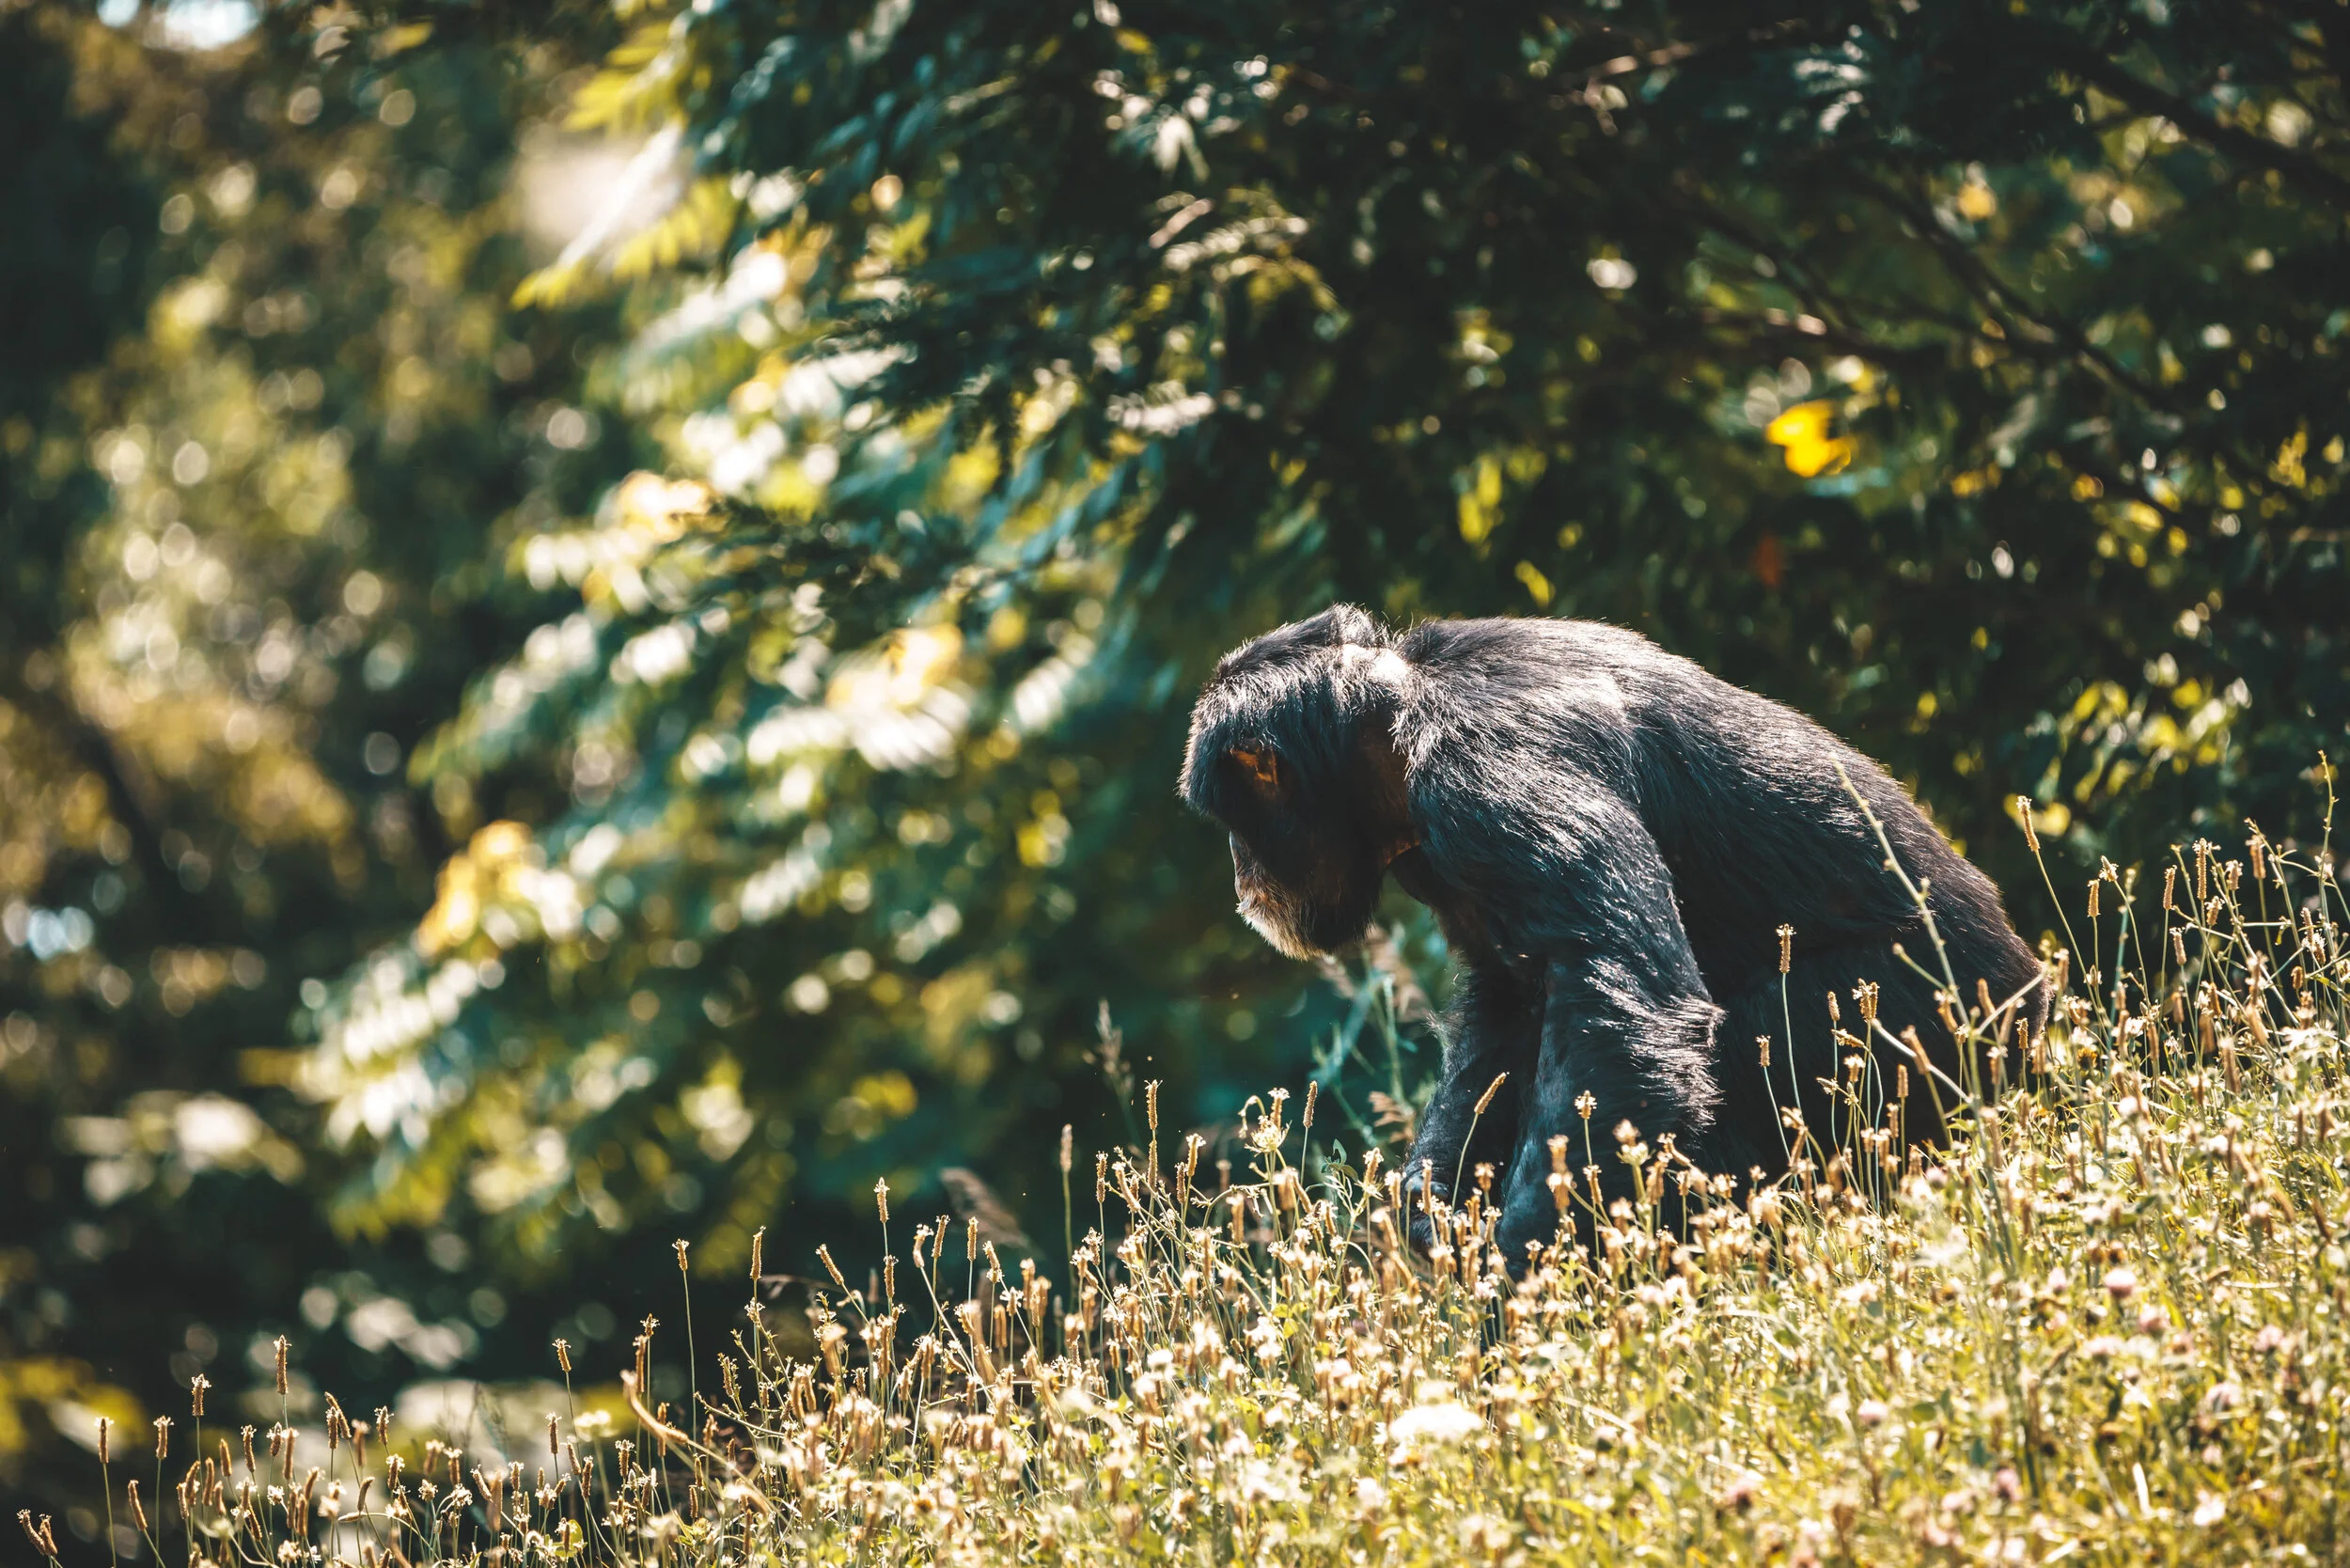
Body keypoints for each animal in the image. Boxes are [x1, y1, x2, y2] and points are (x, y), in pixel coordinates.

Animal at [1179, 605, 2046, 1262]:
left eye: (1232, 821)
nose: (1237, 875)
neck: (1397, 715)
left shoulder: (1490, 772)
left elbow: (1615, 1014)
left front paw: (1521, 1297)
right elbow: (1512, 1003)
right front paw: (1432, 1209)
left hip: (1910, 1022)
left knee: (1750, 1050)